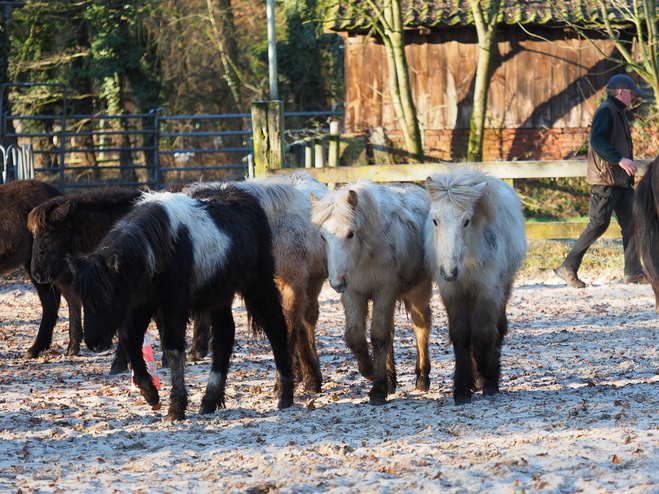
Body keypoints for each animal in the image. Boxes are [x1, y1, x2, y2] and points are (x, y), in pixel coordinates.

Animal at [68, 189, 292, 420]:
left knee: (276, 328)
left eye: (108, 296)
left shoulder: (174, 306)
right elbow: (131, 341)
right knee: (224, 334)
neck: (157, 247)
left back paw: (285, 395)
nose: (94, 343)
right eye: (83, 299)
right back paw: (209, 400)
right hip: (220, 295)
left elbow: (173, 349)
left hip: (258, 285)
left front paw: (176, 406)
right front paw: (150, 393)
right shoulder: (142, 306)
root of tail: (249, 201)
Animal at [310, 181, 434, 406]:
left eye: (350, 233)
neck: (365, 254)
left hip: (419, 291)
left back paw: (422, 377)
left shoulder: (384, 291)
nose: (337, 282)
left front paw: (378, 389)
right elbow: (356, 337)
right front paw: (370, 371)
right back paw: (391, 379)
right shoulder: (353, 294)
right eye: (322, 236)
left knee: (421, 327)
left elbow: (378, 337)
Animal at [426, 168, 528, 408]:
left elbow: (483, 334)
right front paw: (462, 388)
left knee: (498, 328)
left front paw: (488, 376)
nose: (449, 271)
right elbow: (462, 336)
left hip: (503, 289)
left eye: (466, 221)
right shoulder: (453, 294)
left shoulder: (487, 292)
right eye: (435, 221)